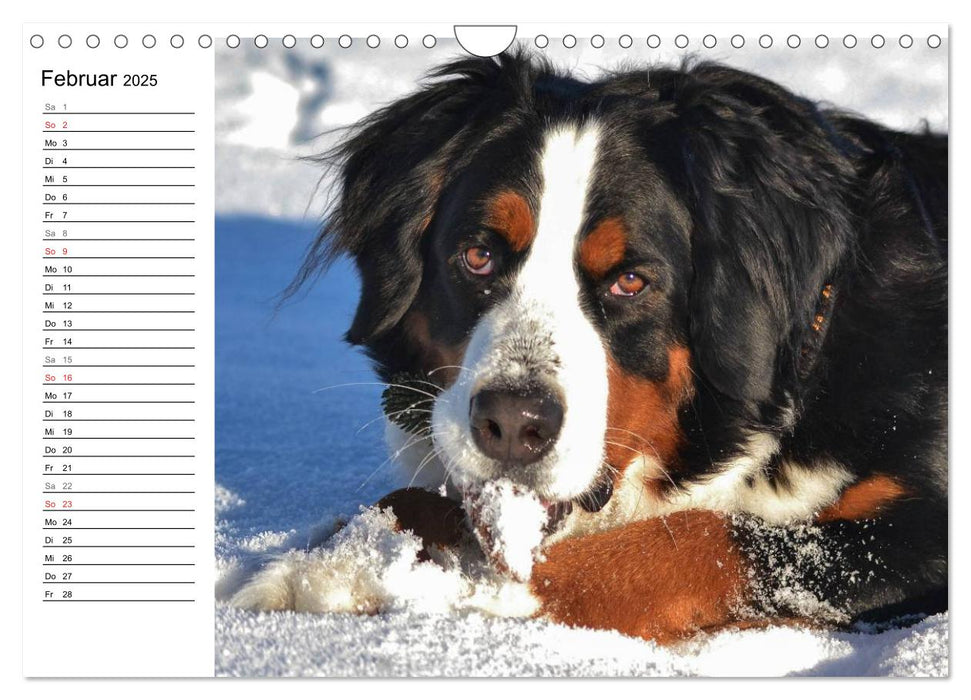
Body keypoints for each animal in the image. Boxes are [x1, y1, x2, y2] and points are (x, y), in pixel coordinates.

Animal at [292, 52, 944, 644]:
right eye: (478, 256)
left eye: (630, 281)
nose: (512, 422)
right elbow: (408, 501)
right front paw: (334, 566)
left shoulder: (916, 533)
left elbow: (703, 541)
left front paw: (496, 605)